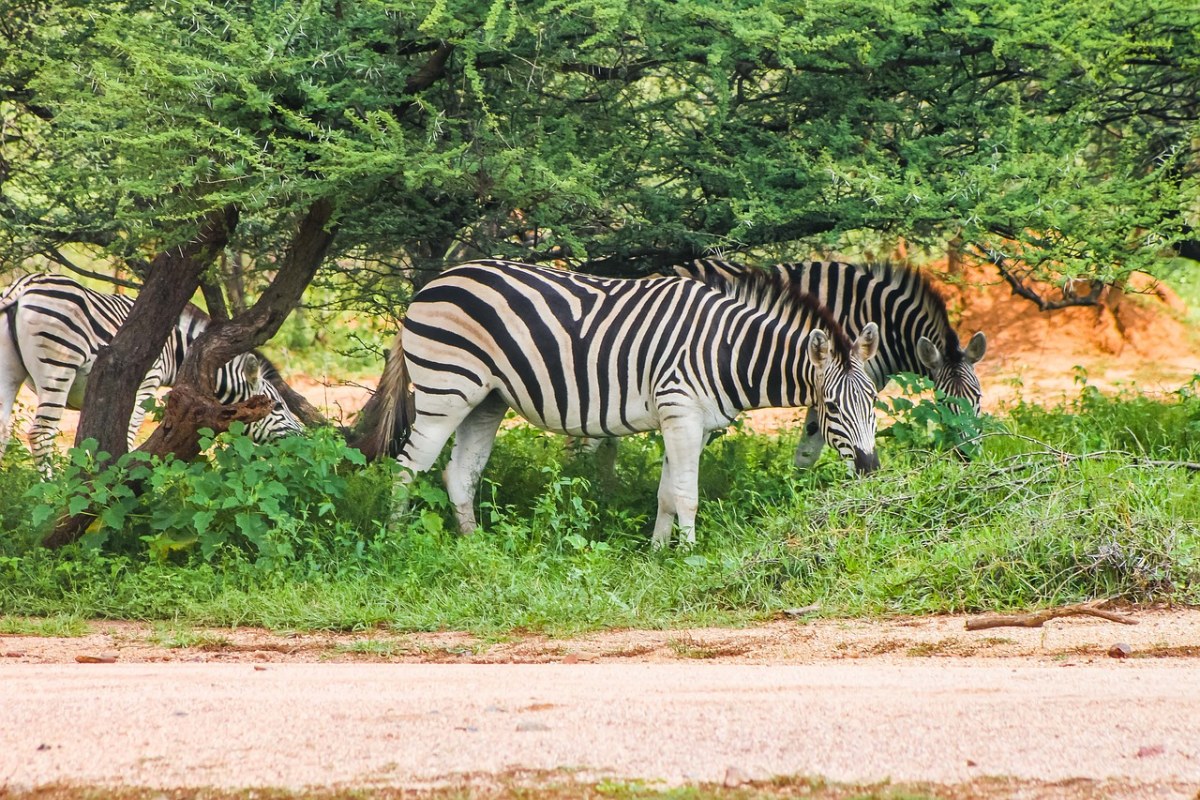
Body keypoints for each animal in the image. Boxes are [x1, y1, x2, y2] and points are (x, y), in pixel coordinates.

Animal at [1, 273, 300, 474]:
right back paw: (50, 494)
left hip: (10, 370)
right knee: (41, 433)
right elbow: (129, 431)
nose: (302, 437)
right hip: (59, 364)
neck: (175, 347)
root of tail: (21, 287)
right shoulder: (147, 381)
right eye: (276, 407)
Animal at [350, 260, 883, 546]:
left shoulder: (689, 421)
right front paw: (687, 556)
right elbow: (687, 494)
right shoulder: (680, 409)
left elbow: (668, 492)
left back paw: (474, 546)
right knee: (407, 466)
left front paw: (658, 552)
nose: (870, 469)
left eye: (874, 403)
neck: (726, 350)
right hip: (446, 387)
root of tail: (431, 284)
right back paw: (397, 541)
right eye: (831, 407)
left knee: (458, 474)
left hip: (487, 399)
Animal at [676, 260, 984, 465]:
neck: (880, 320)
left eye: (978, 398)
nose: (969, 456)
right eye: (942, 402)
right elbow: (821, 444)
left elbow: (810, 448)